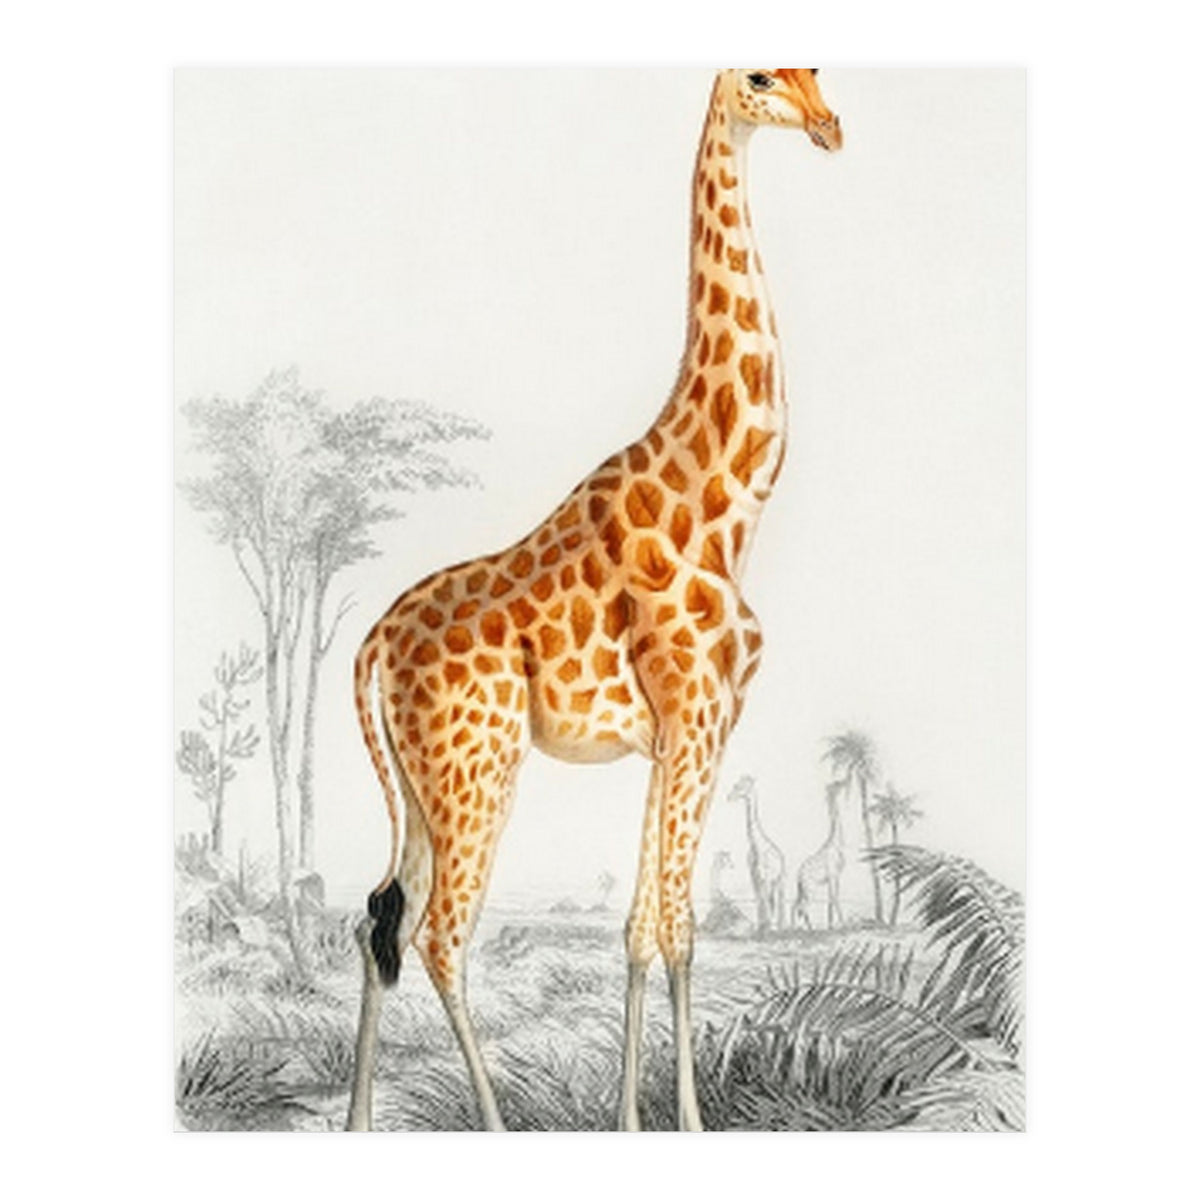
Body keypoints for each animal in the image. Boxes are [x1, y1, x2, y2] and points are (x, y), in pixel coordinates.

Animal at [728, 774, 786, 934]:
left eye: (743, 786)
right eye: (736, 784)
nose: (729, 797)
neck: (756, 845)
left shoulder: (765, 876)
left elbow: (765, 899)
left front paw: (768, 927)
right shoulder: (754, 876)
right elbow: (759, 898)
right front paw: (761, 926)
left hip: (780, 879)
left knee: (778, 899)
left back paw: (781, 926)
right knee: (769, 898)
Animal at [793, 780, 847, 931]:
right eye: (836, 784)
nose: (845, 782)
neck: (835, 843)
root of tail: (799, 876)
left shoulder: (833, 877)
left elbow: (831, 898)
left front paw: (831, 925)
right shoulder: (834, 874)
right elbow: (835, 897)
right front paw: (842, 924)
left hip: (802, 890)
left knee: (796, 905)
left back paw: (793, 927)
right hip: (810, 888)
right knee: (803, 907)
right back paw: (809, 928)